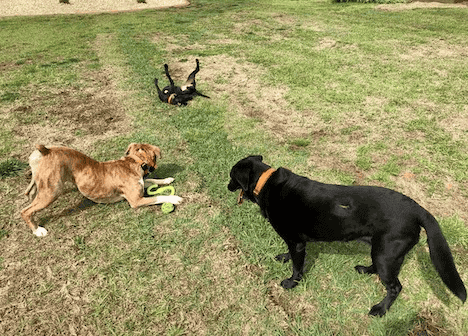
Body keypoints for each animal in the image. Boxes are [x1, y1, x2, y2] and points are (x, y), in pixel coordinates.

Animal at [22, 142, 183, 236]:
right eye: (155, 157)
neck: (133, 162)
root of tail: (46, 150)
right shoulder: (136, 201)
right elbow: (158, 197)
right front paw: (174, 198)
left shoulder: (141, 184)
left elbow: (150, 180)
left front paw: (167, 179)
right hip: (52, 192)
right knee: (25, 211)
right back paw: (37, 230)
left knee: (30, 193)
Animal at [227, 156, 464, 316]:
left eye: (231, 176)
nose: (227, 186)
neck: (265, 183)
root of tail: (418, 209)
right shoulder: (295, 242)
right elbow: (291, 256)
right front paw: (284, 257)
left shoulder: (297, 243)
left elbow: (297, 267)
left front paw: (291, 283)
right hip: (383, 251)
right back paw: (365, 270)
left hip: (386, 253)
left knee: (395, 287)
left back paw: (380, 309)